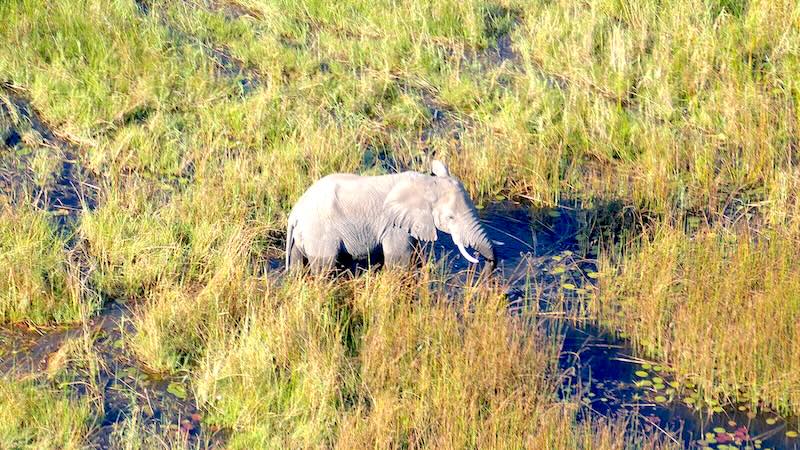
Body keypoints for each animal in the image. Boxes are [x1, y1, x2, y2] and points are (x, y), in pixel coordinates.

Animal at [285, 160, 495, 273]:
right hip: (319, 233)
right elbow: (399, 261)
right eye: (451, 218)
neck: (426, 183)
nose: (485, 263)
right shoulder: (394, 226)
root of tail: (295, 214)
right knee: (324, 269)